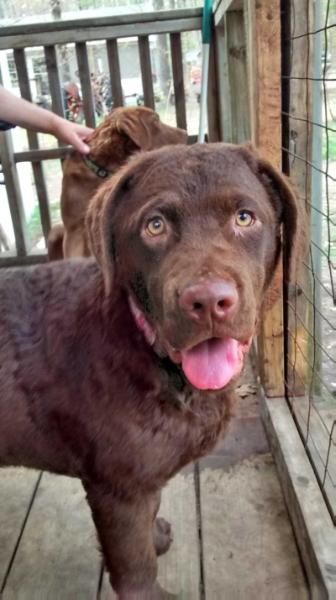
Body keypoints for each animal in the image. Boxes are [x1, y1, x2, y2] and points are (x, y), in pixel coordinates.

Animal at [0, 143, 302, 596]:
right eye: (154, 226)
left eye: (245, 217)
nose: (208, 302)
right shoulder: (116, 486)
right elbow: (134, 562)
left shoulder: (140, 476)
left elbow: (150, 512)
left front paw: (156, 535)